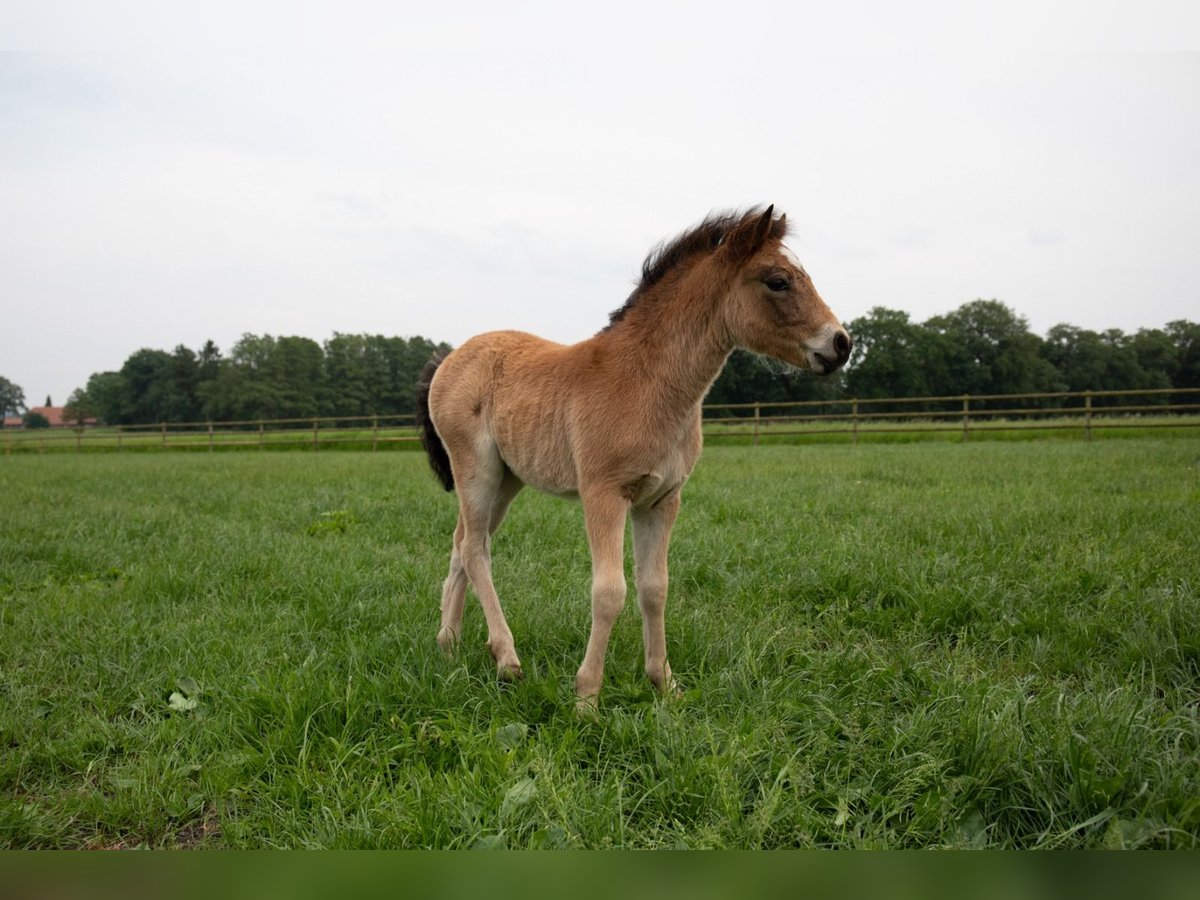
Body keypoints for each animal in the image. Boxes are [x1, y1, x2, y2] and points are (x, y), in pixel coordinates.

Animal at [417, 207, 849, 710]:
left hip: (507, 479)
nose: (841, 344)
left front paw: (665, 684)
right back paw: (506, 659)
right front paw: (587, 698)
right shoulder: (603, 494)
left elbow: (654, 588)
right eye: (778, 281)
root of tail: (449, 358)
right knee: (475, 548)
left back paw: (448, 644)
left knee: (465, 541)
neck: (647, 383)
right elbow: (609, 591)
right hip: (477, 469)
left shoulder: (661, 499)